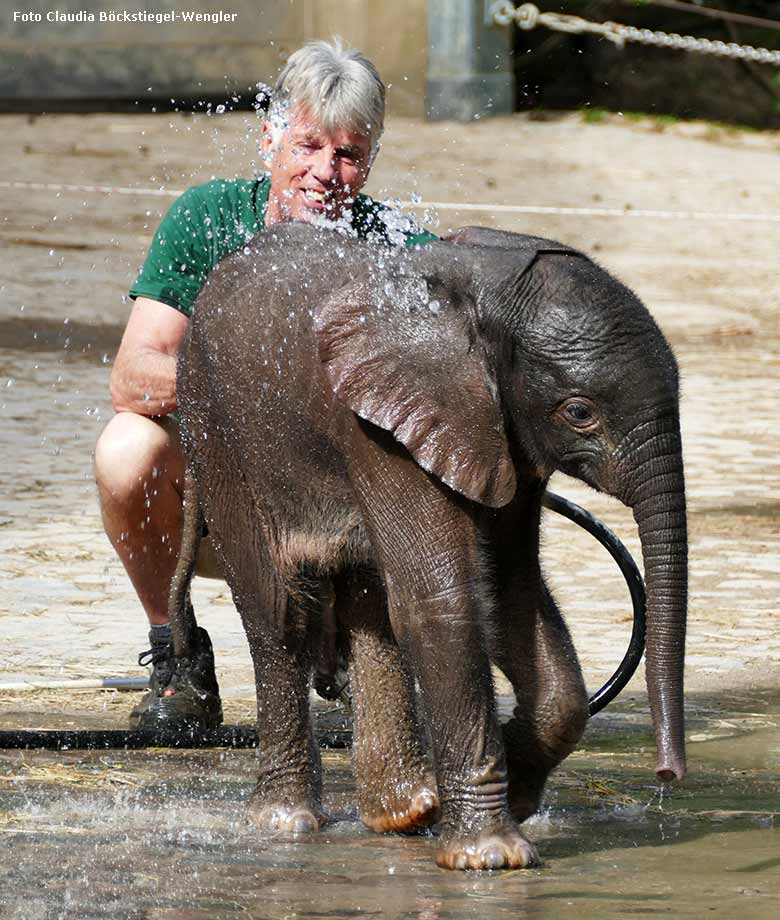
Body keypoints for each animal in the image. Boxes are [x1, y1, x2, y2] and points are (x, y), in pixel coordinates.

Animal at [168, 223, 684, 868]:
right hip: (218, 434)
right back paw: (287, 822)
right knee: (277, 610)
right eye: (579, 412)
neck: (482, 293)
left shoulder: (499, 434)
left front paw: (517, 787)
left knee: (369, 598)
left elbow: (509, 593)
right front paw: (492, 856)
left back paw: (406, 812)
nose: (668, 777)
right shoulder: (379, 429)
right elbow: (444, 602)